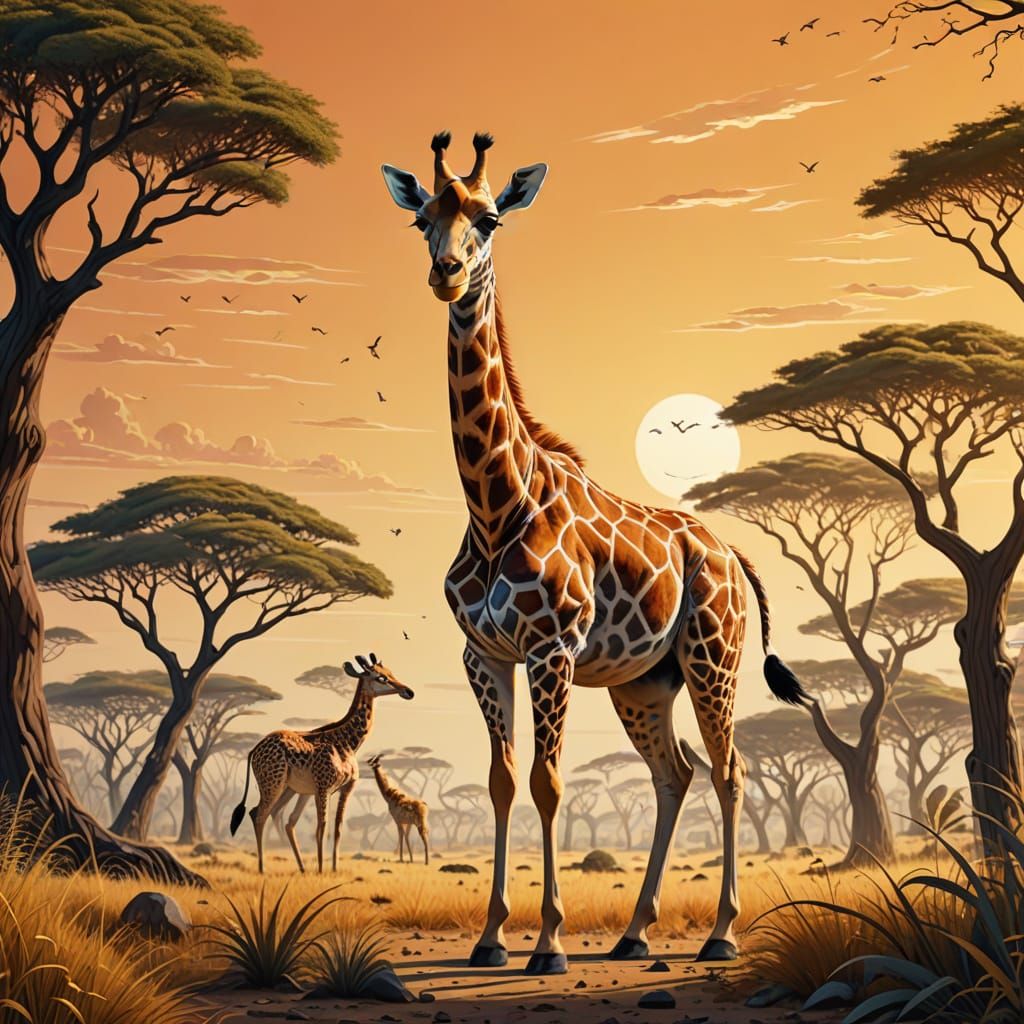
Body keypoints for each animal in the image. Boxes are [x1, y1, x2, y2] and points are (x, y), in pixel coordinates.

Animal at [229, 654, 414, 874]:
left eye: (391, 672)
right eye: (381, 678)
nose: (408, 691)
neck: (347, 743)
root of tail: (254, 750)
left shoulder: (345, 788)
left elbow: (337, 828)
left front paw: (333, 868)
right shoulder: (323, 787)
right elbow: (322, 827)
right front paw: (320, 869)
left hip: (289, 789)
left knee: (281, 817)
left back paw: (300, 867)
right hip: (272, 784)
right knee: (259, 814)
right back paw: (263, 868)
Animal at [382, 133, 808, 976]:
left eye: (489, 219)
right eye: (422, 220)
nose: (446, 272)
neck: (494, 506)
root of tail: (731, 552)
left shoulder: (551, 648)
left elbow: (547, 782)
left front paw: (547, 943)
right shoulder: (484, 653)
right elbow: (501, 782)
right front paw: (489, 939)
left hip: (712, 658)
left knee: (730, 771)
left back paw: (720, 932)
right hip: (644, 681)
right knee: (675, 773)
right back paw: (635, 930)